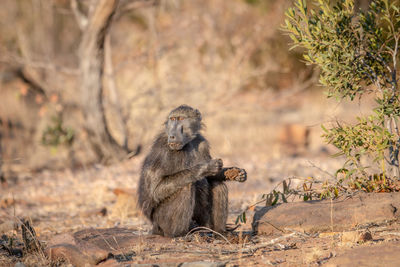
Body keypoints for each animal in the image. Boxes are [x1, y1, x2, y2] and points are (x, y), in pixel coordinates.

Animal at [138, 105, 247, 238]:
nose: (172, 136)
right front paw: (205, 167)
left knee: (218, 185)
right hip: (161, 222)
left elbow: (212, 178)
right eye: (172, 119)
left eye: (180, 118)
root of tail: (154, 227)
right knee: (186, 186)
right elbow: (156, 190)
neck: (187, 142)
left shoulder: (202, 143)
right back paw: (178, 234)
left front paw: (236, 173)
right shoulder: (163, 148)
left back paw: (220, 232)